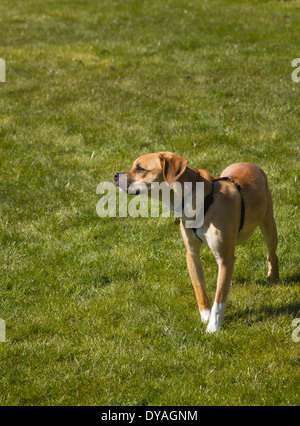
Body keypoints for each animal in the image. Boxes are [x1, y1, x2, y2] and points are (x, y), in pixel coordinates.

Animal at [114, 152, 278, 332]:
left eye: (140, 168)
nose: (115, 175)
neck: (201, 201)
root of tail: (249, 163)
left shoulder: (224, 257)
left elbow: (219, 300)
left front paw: (213, 327)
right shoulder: (191, 253)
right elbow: (199, 287)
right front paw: (205, 315)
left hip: (269, 225)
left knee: (272, 254)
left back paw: (273, 277)